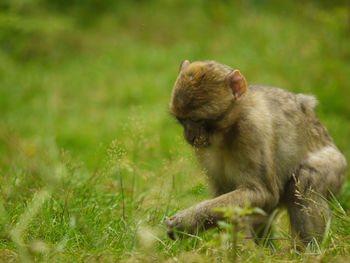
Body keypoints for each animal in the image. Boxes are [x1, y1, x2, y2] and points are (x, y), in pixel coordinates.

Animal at [165, 59, 346, 245]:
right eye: (181, 120)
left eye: (197, 119)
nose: (190, 137)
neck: (227, 130)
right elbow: (228, 195)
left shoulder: (252, 130)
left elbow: (263, 193)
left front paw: (185, 222)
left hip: (336, 166)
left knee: (304, 183)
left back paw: (313, 248)